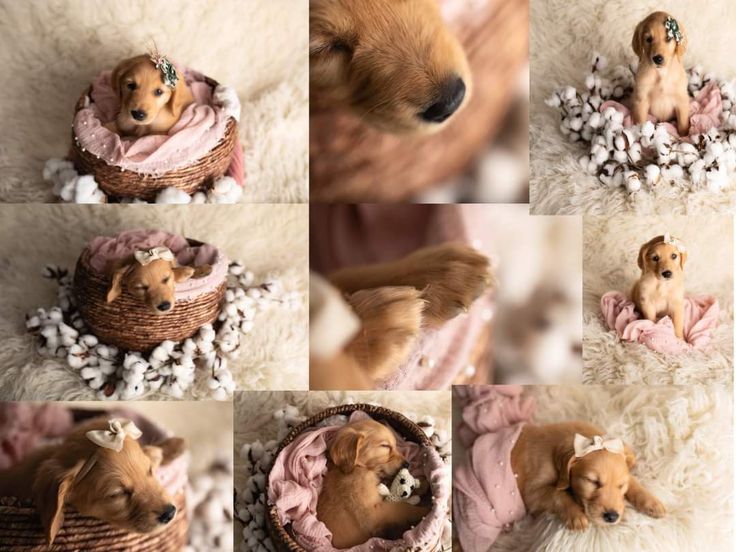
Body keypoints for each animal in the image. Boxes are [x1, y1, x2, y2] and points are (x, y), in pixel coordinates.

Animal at [318, 418, 432, 548]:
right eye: (385, 446)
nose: (407, 464)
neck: (359, 468)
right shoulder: (374, 513)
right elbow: (403, 507)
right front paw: (425, 512)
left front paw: (422, 484)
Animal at [512, 422, 668, 532]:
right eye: (593, 481)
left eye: (620, 486)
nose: (612, 517)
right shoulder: (532, 492)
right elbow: (557, 493)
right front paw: (576, 515)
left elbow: (632, 480)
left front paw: (652, 502)